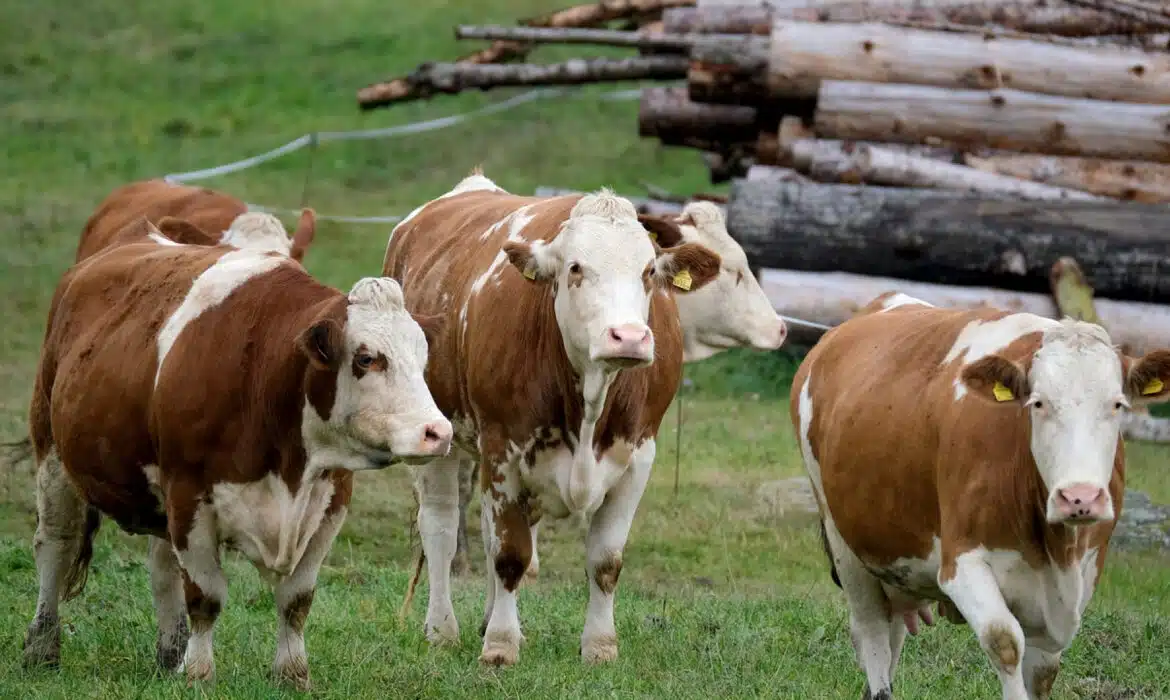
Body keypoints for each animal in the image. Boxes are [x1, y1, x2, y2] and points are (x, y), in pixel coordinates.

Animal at [23, 237, 451, 692]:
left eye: (423, 357)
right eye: (367, 358)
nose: (437, 431)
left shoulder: (330, 503)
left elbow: (296, 599)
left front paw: (292, 673)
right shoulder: (188, 496)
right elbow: (205, 596)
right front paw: (198, 673)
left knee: (161, 567)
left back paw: (170, 655)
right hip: (52, 453)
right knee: (55, 544)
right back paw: (42, 648)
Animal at [379, 173, 720, 664]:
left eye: (648, 272)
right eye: (575, 267)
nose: (629, 337)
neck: (591, 400)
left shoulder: (639, 456)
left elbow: (605, 561)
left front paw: (599, 646)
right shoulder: (502, 449)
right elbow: (509, 554)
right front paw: (500, 646)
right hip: (438, 435)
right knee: (441, 526)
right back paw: (442, 629)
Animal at [790, 290, 1170, 700]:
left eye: (1117, 404)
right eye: (1038, 403)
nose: (1080, 497)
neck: (1054, 549)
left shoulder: (1081, 577)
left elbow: (1044, 669)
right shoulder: (962, 564)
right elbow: (1005, 641)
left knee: (892, 634)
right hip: (844, 543)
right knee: (872, 632)